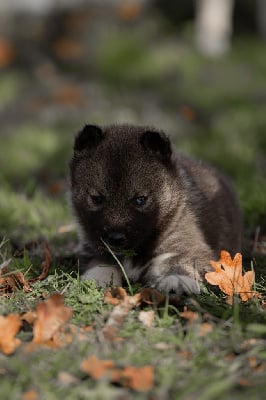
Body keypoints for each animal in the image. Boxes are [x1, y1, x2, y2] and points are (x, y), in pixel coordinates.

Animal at [69, 124, 242, 294]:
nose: (115, 239)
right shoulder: (91, 247)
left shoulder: (187, 243)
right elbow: (101, 262)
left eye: (140, 200)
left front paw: (178, 279)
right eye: (97, 199)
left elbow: (181, 259)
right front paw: (97, 280)